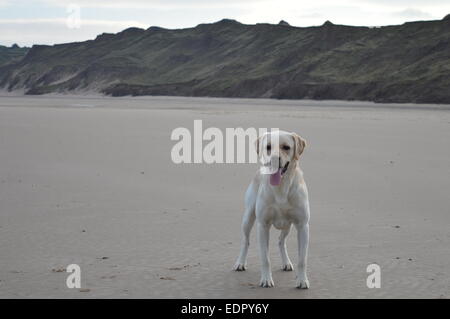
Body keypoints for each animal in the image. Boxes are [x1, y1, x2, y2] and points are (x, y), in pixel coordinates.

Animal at [234, 130, 312, 290]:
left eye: (286, 147)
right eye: (268, 147)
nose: (274, 159)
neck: (281, 186)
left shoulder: (303, 226)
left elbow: (302, 260)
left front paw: (302, 280)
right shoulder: (263, 226)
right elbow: (265, 259)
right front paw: (266, 279)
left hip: (288, 225)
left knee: (281, 241)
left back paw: (286, 262)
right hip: (248, 217)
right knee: (245, 240)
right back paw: (240, 262)